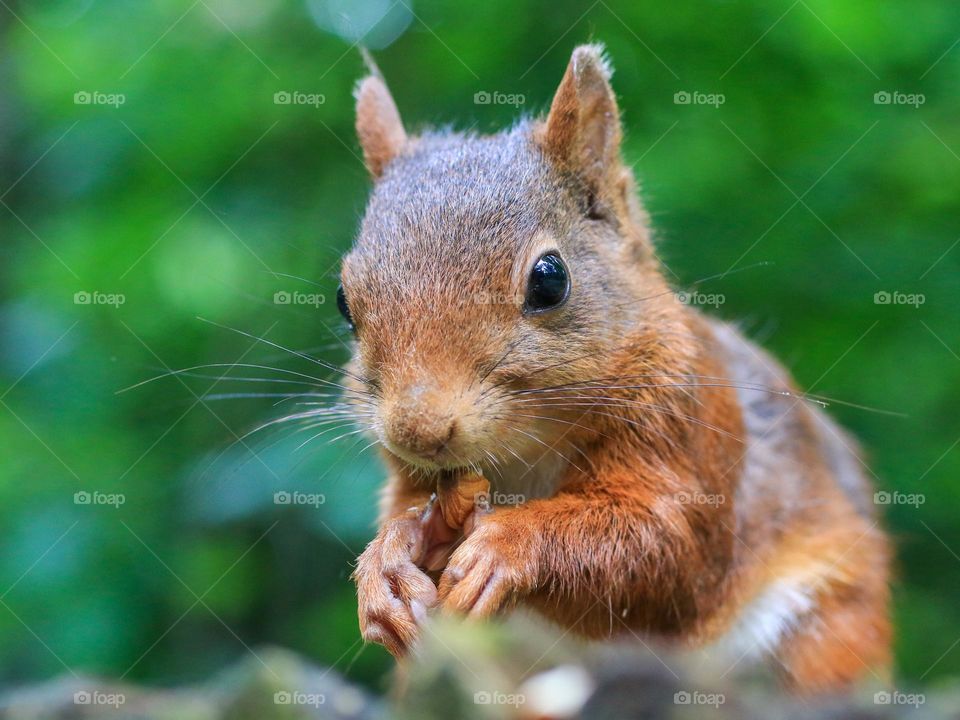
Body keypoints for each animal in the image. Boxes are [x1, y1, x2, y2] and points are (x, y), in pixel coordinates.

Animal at [342, 44, 891, 693]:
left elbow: (665, 549)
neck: (525, 454)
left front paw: (508, 545)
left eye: (549, 279)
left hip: (825, 626)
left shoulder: (687, 429)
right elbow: (404, 510)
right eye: (344, 301)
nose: (418, 432)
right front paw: (387, 564)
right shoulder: (414, 479)